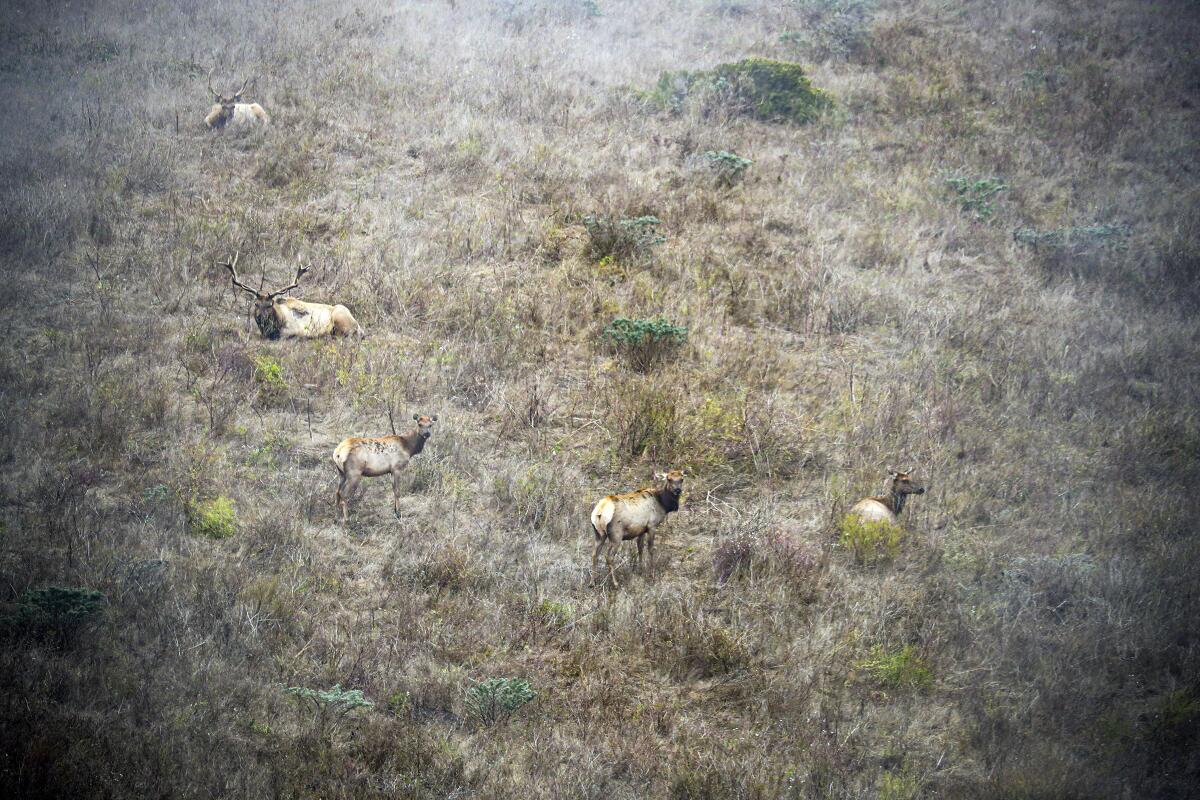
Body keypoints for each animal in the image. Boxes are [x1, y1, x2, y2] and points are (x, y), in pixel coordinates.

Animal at [222, 250, 360, 338]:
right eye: (256, 304)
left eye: (270, 304)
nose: (261, 318)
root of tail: (359, 327)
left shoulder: (296, 330)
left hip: (340, 317)